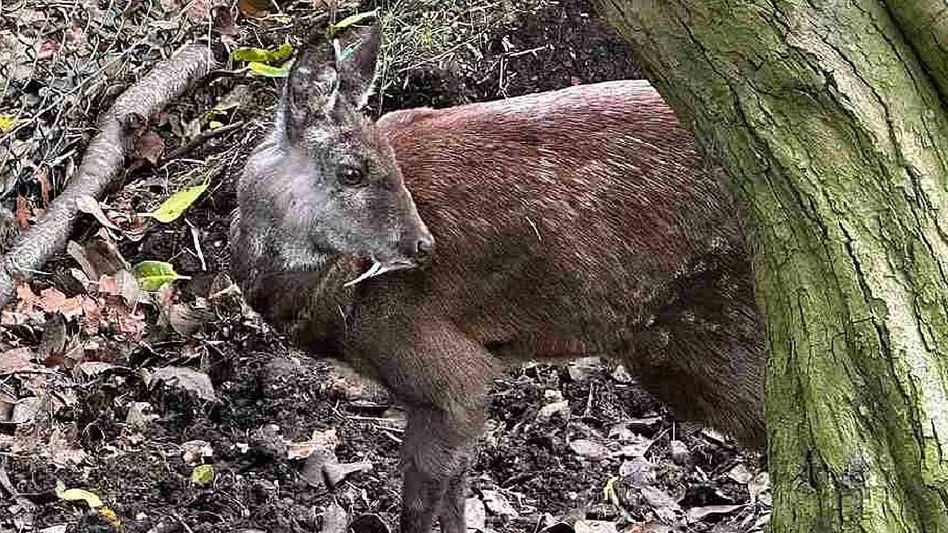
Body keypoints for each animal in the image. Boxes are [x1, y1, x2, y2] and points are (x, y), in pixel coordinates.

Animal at [230, 21, 766, 533]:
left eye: (389, 165)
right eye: (351, 171)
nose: (423, 247)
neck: (337, 303)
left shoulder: (446, 372)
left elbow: (422, 503)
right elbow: (455, 494)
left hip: (716, 330)